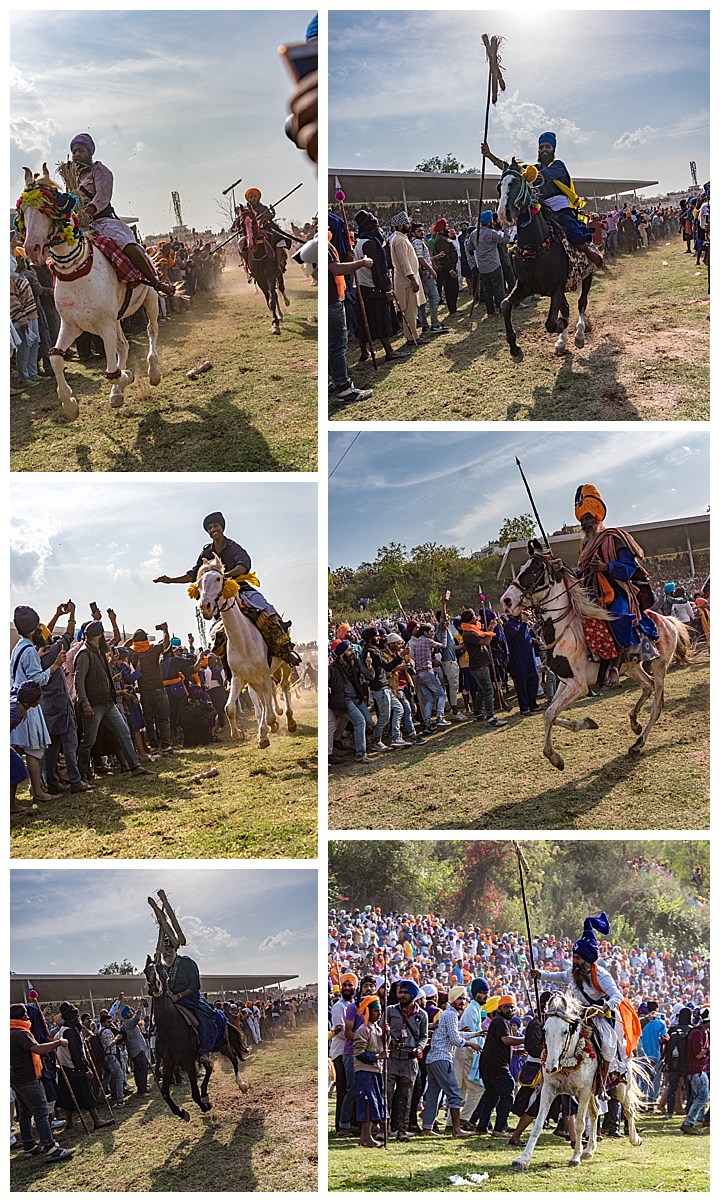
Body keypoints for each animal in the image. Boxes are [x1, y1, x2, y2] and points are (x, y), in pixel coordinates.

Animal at [17, 164, 162, 418]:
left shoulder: (104, 325)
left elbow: (112, 372)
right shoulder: (71, 325)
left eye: (49, 206)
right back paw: (118, 392)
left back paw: (152, 371)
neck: (77, 272)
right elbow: (55, 358)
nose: (31, 248)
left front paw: (126, 377)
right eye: (23, 211)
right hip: (116, 318)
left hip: (150, 298)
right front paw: (69, 404)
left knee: (151, 330)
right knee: (123, 345)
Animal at [143, 951, 251, 1120]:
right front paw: (182, 1112)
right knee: (210, 1067)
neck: (170, 1027)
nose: (156, 986)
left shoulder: (188, 1062)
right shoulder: (168, 1063)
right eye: (146, 971)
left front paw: (205, 1106)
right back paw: (205, 1093)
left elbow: (194, 1094)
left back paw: (242, 1085)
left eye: (161, 969)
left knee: (233, 1059)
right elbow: (165, 1093)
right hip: (204, 1054)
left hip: (223, 1045)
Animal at [189, 555, 280, 745]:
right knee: (261, 701)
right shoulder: (239, 677)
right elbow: (229, 708)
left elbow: (268, 709)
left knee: (281, 690)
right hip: (253, 681)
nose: (205, 607)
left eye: (218, 579)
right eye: (199, 583)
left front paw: (271, 725)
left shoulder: (264, 675)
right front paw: (240, 734)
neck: (243, 641)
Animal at [497, 162, 593, 363]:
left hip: (587, 275)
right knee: (567, 308)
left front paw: (562, 325)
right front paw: (515, 349)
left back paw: (579, 335)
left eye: (516, 183)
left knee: (581, 303)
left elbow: (550, 322)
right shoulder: (526, 286)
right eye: (499, 187)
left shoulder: (556, 288)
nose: (503, 214)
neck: (536, 247)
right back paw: (561, 342)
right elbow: (505, 305)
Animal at [512, 990, 649, 1168]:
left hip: (621, 1085)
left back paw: (635, 1139)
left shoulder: (583, 1092)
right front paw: (523, 1159)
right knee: (595, 1112)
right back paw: (589, 1150)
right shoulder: (549, 1089)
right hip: (593, 1092)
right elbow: (538, 1124)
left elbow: (579, 1125)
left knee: (628, 1109)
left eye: (565, 1031)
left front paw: (575, 1157)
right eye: (545, 1030)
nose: (550, 1067)